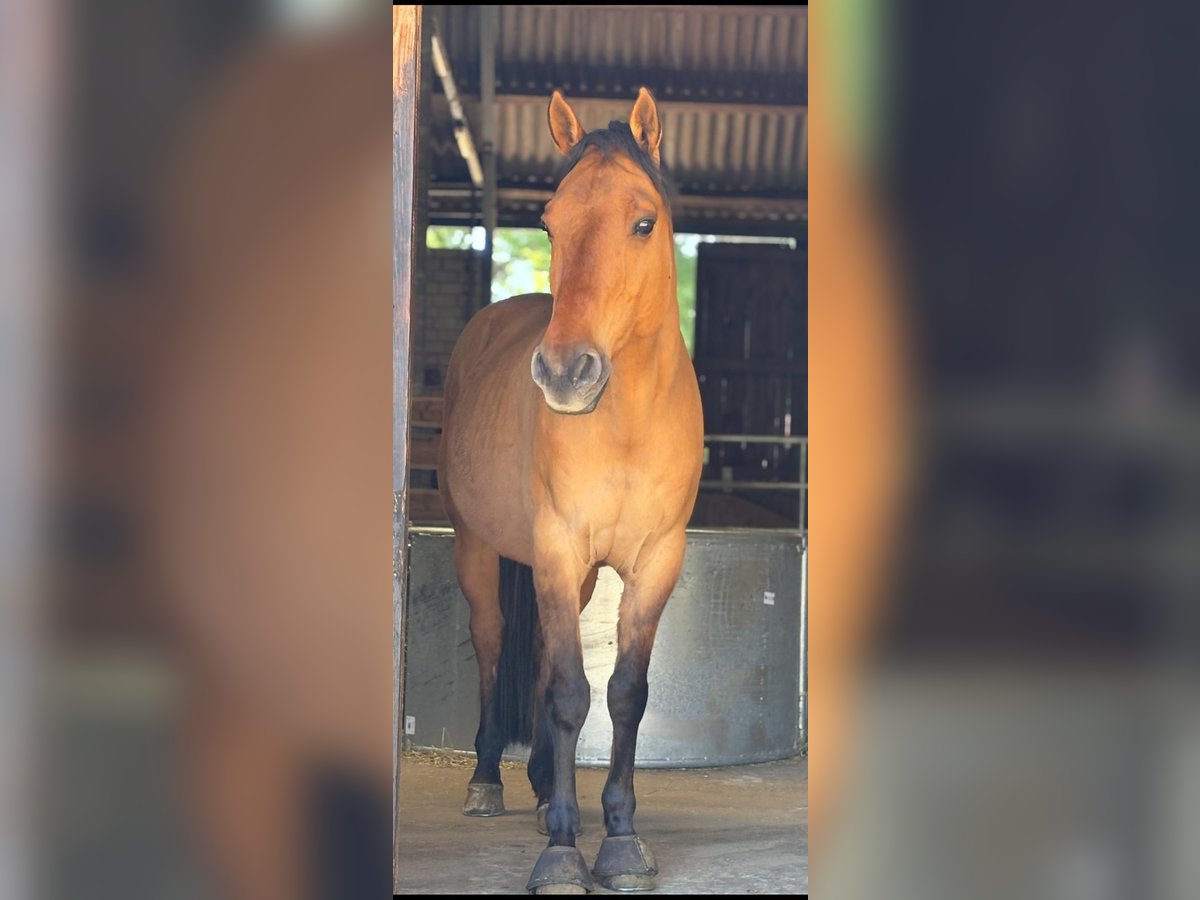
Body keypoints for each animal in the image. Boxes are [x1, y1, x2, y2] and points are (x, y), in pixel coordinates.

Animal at [438, 87, 704, 893]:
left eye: (643, 222)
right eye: (550, 223)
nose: (564, 373)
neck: (627, 421)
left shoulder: (655, 561)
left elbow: (622, 693)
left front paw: (618, 837)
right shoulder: (556, 548)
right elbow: (566, 692)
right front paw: (561, 850)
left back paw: (537, 793)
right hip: (478, 547)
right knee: (495, 642)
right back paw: (490, 781)